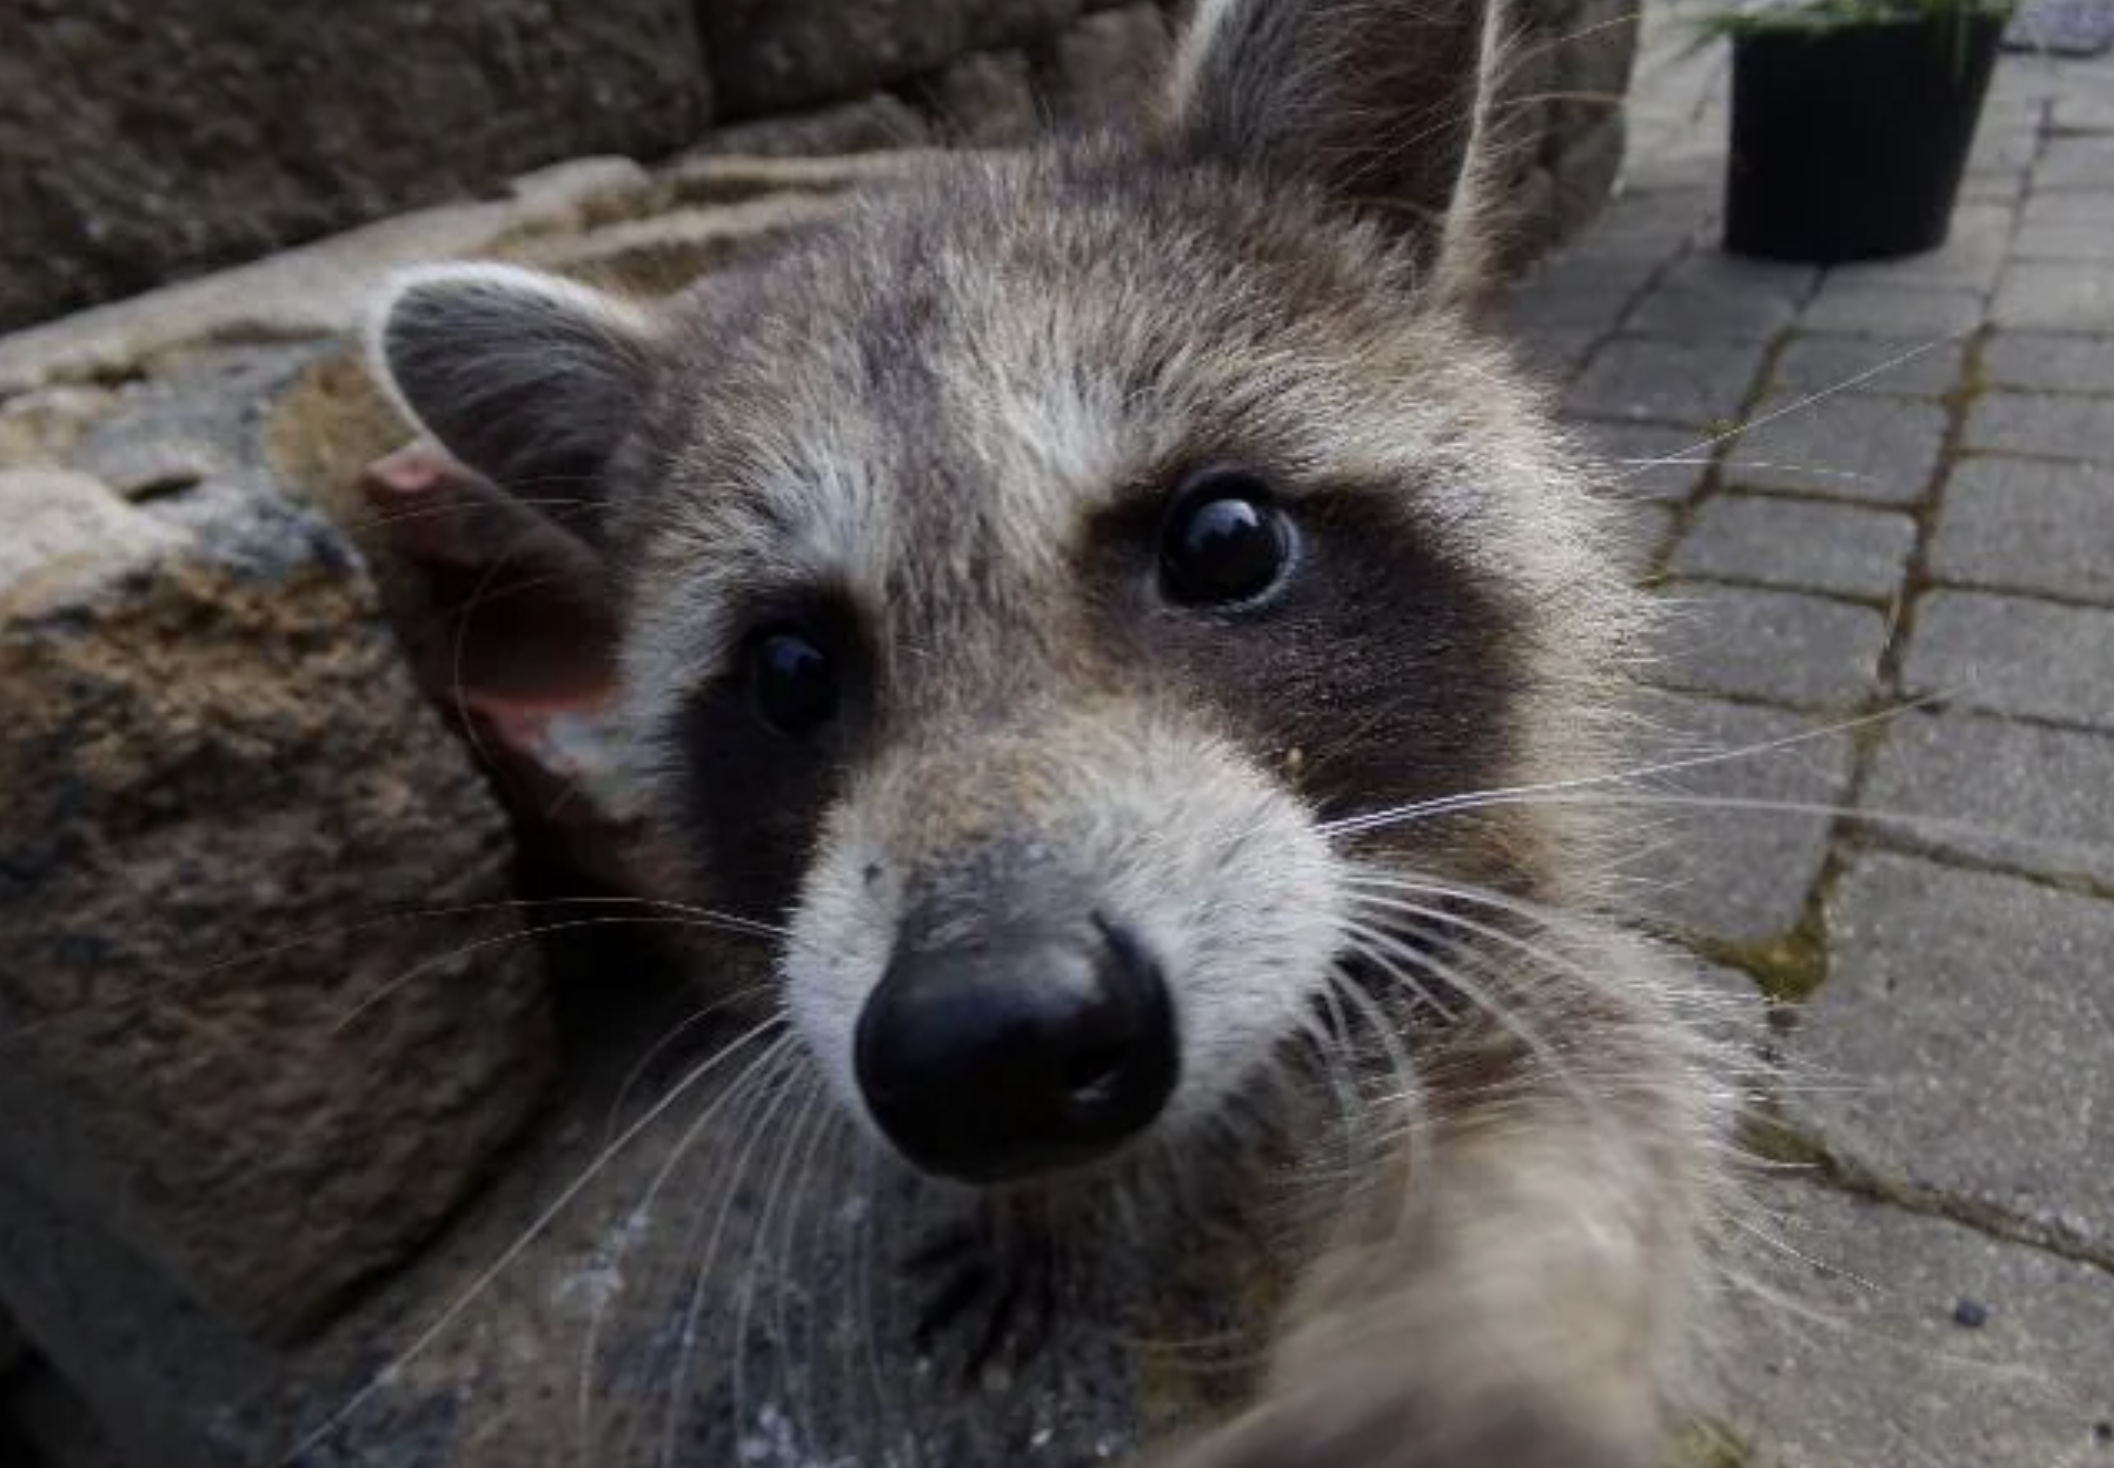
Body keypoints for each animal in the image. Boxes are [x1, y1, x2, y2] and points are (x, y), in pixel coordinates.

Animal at [364, 0, 1736, 1462]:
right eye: (787, 670)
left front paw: (1472, 1339)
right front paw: (1027, 1205)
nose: (992, 1047)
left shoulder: (1493, 871)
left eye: (1224, 541)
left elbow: (1577, 1062)